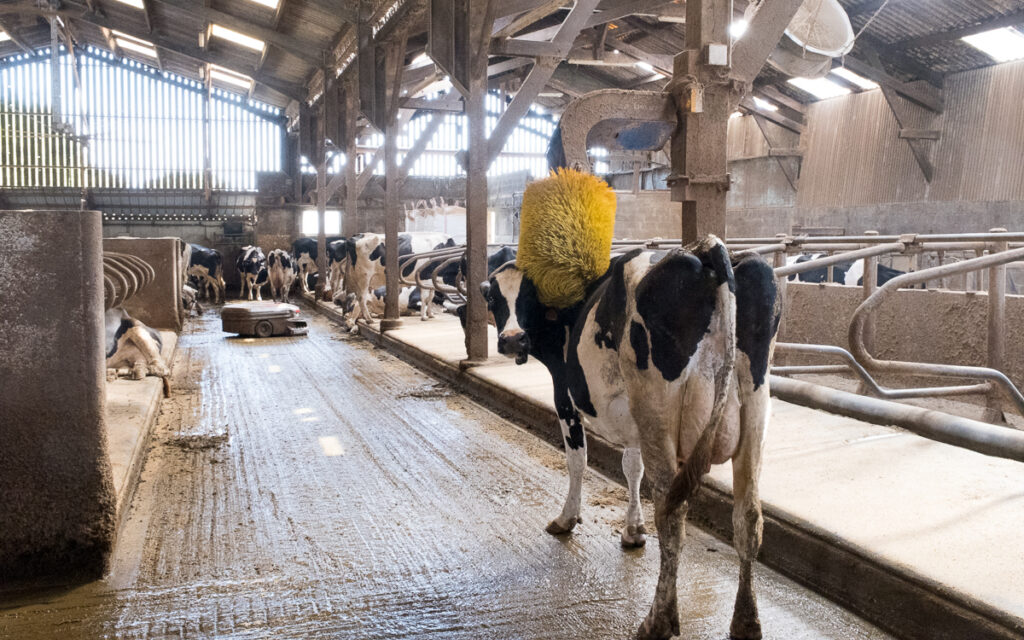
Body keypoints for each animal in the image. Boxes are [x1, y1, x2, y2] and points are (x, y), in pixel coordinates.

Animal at [479, 237, 781, 640]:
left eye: (527, 294)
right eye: (493, 296)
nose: (512, 340)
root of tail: (707, 251)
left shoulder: (565, 396)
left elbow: (578, 461)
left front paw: (567, 518)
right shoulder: (633, 418)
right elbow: (631, 467)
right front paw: (633, 530)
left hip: (657, 409)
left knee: (671, 514)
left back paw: (658, 620)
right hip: (755, 411)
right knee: (748, 516)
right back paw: (746, 622)